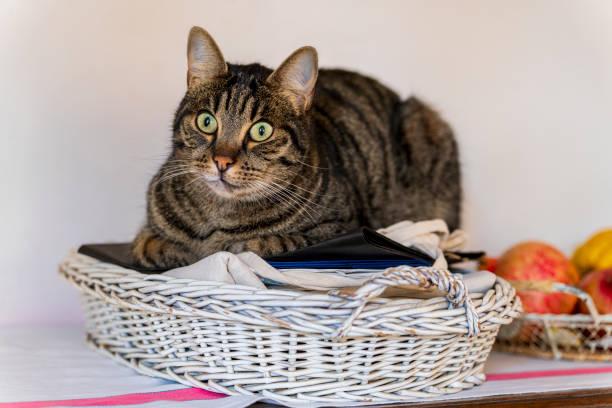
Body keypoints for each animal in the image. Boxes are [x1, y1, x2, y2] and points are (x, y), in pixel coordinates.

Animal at [133, 26, 460, 268]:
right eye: (206, 121)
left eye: (261, 131)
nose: (222, 161)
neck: (218, 216)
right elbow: (147, 242)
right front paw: (166, 247)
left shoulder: (344, 228)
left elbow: (280, 242)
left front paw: (249, 243)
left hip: (425, 125)